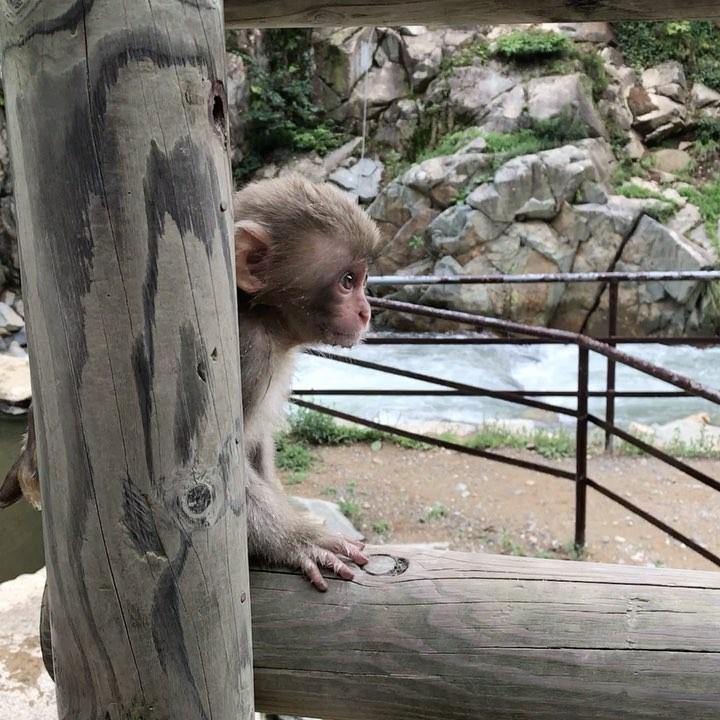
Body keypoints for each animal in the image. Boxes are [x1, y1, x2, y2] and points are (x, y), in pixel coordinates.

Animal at [0, 174, 382, 592]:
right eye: (348, 281)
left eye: (361, 279)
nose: (366, 311)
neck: (264, 318)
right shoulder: (249, 356)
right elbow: (225, 474)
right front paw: (297, 540)